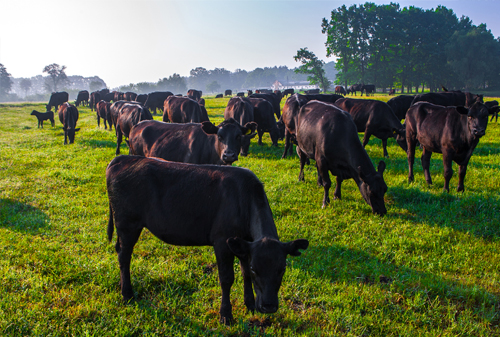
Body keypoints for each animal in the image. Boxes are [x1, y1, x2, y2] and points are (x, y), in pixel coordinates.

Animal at [106, 154, 308, 322]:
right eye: (255, 268)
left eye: (282, 269)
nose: (268, 306)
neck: (245, 198)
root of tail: (123, 158)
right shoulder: (222, 242)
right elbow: (227, 279)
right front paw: (226, 315)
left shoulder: (243, 244)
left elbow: (244, 274)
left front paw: (249, 304)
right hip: (128, 224)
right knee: (124, 256)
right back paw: (127, 294)